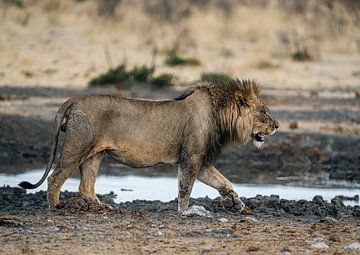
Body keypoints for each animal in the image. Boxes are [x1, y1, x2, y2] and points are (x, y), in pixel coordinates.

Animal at [19, 78, 278, 212]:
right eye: (264, 112)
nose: (277, 125)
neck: (221, 116)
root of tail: (75, 99)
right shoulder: (191, 158)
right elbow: (185, 187)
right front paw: (186, 211)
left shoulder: (202, 162)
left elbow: (224, 182)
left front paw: (237, 202)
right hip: (77, 148)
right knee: (55, 178)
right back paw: (56, 206)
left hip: (95, 154)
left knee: (86, 186)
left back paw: (103, 208)